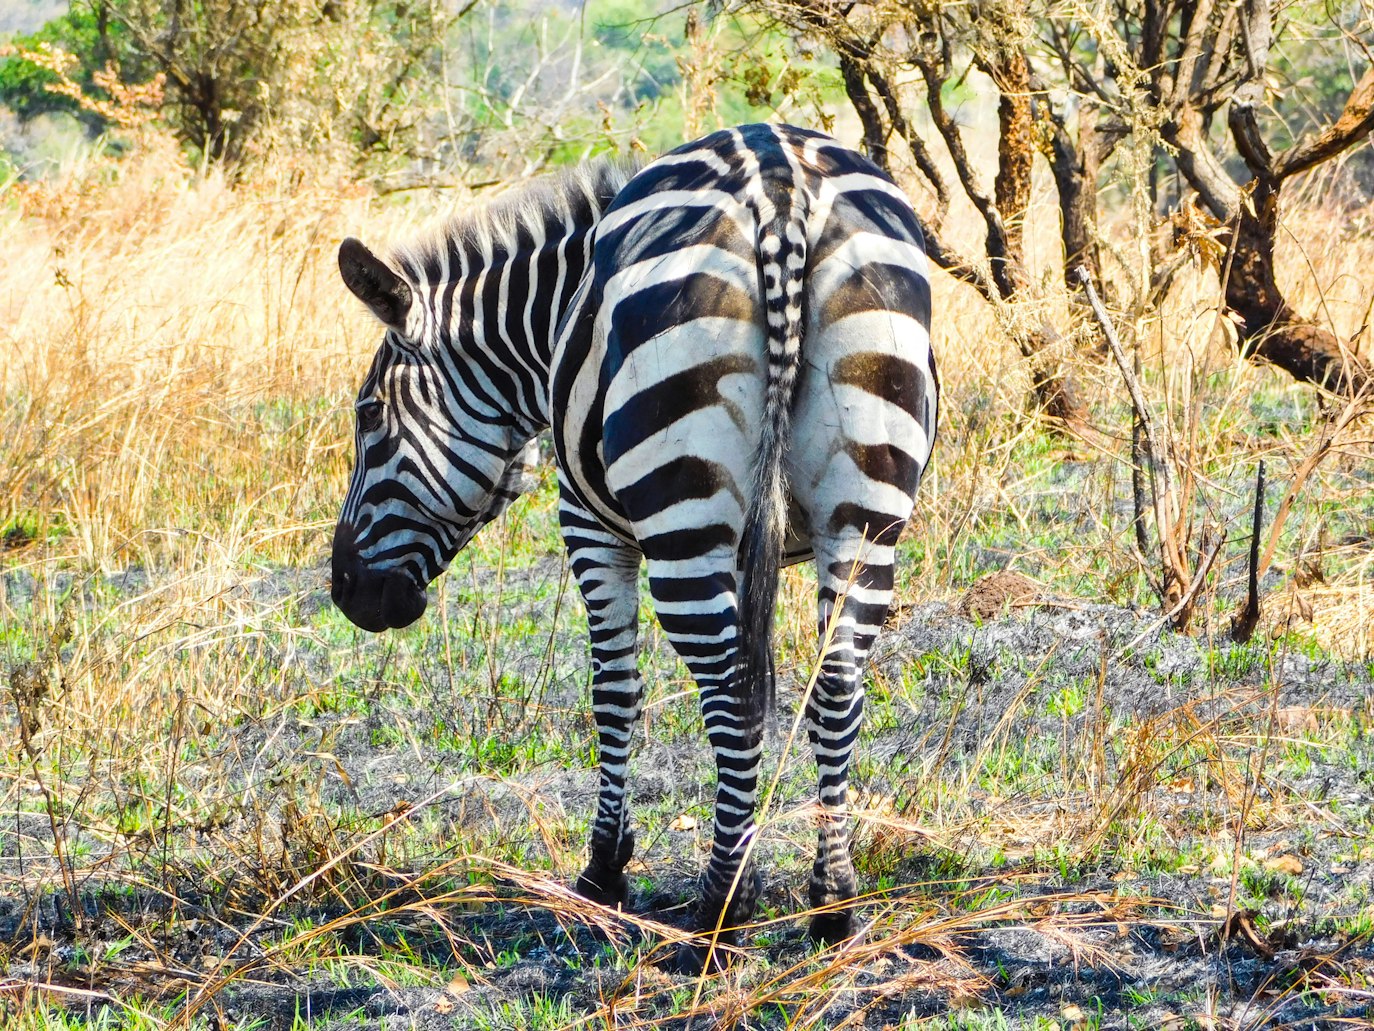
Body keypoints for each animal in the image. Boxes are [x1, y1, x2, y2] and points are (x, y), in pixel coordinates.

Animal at [329, 125, 934, 973]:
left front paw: (604, 869)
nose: (346, 589)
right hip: (868, 497)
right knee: (838, 685)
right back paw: (832, 903)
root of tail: (779, 186)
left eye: (369, 418)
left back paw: (720, 914)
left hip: (680, 500)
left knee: (729, 693)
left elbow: (613, 691)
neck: (551, 318)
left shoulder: (587, 520)